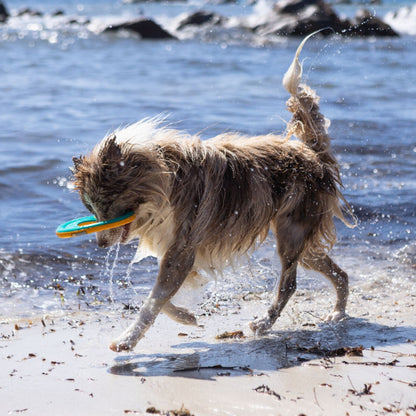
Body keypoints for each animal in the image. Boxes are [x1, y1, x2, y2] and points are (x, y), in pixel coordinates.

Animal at [70, 33, 354, 352]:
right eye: (91, 210)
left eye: (105, 205)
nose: (100, 245)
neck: (162, 179)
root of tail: (313, 155)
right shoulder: (175, 248)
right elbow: (161, 298)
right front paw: (187, 317)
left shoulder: (183, 246)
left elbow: (154, 300)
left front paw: (126, 339)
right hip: (301, 240)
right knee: (338, 272)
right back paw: (338, 313)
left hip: (292, 232)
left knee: (289, 284)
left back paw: (263, 323)